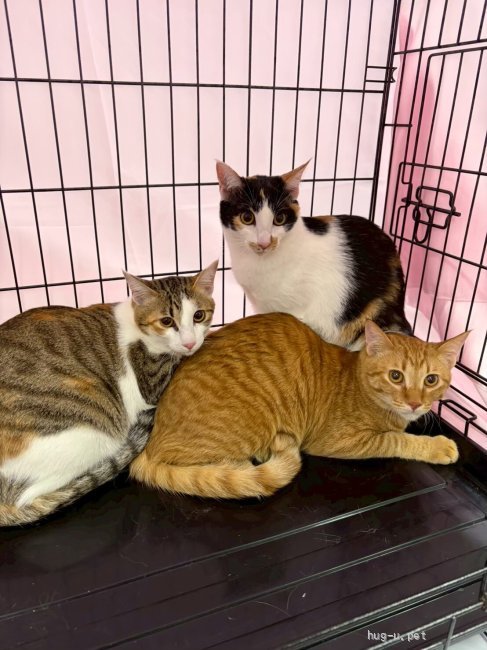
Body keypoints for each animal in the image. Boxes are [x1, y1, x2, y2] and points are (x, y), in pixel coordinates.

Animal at [0, 261, 218, 526]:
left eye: (199, 315)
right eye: (167, 321)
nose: (189, 343)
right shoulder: (151, 382)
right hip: (94, 432)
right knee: (29, 495)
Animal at [130, 313, 468, 499]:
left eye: (431, 380)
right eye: (396, 376)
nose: (415, 403)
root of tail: (149, 443)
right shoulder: (343, 441)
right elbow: (396, 439)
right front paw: (438, 446)